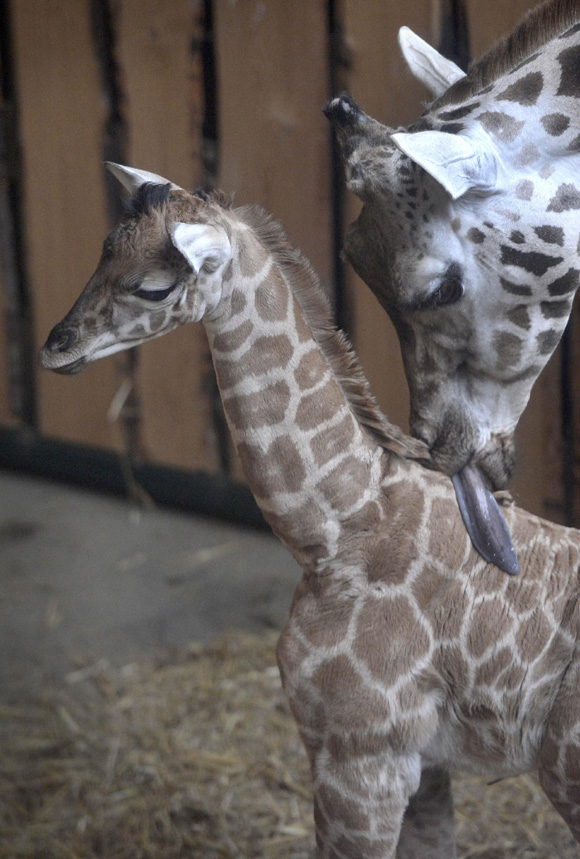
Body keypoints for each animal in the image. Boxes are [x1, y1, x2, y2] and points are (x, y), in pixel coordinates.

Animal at [40, 163, 580, 857]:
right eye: (103, 249)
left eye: (154, 286)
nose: (56, 347)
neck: (339, 528)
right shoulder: (423, 763)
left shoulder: (362, 757)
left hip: (563, 772)